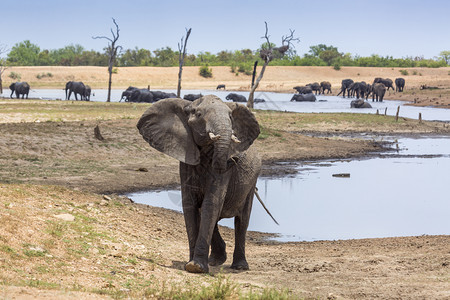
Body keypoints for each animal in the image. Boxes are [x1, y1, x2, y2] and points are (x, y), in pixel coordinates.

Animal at [139, 95, 262, 274]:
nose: (234, 160)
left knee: (242, 220)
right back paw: (216, 260)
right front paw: (191, 265)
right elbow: (190, 205)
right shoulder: (185, 160)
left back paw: (239, 266)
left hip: (252, 182)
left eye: (231, 117)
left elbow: (211, 203)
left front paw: (196, 267)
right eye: (198, 114)